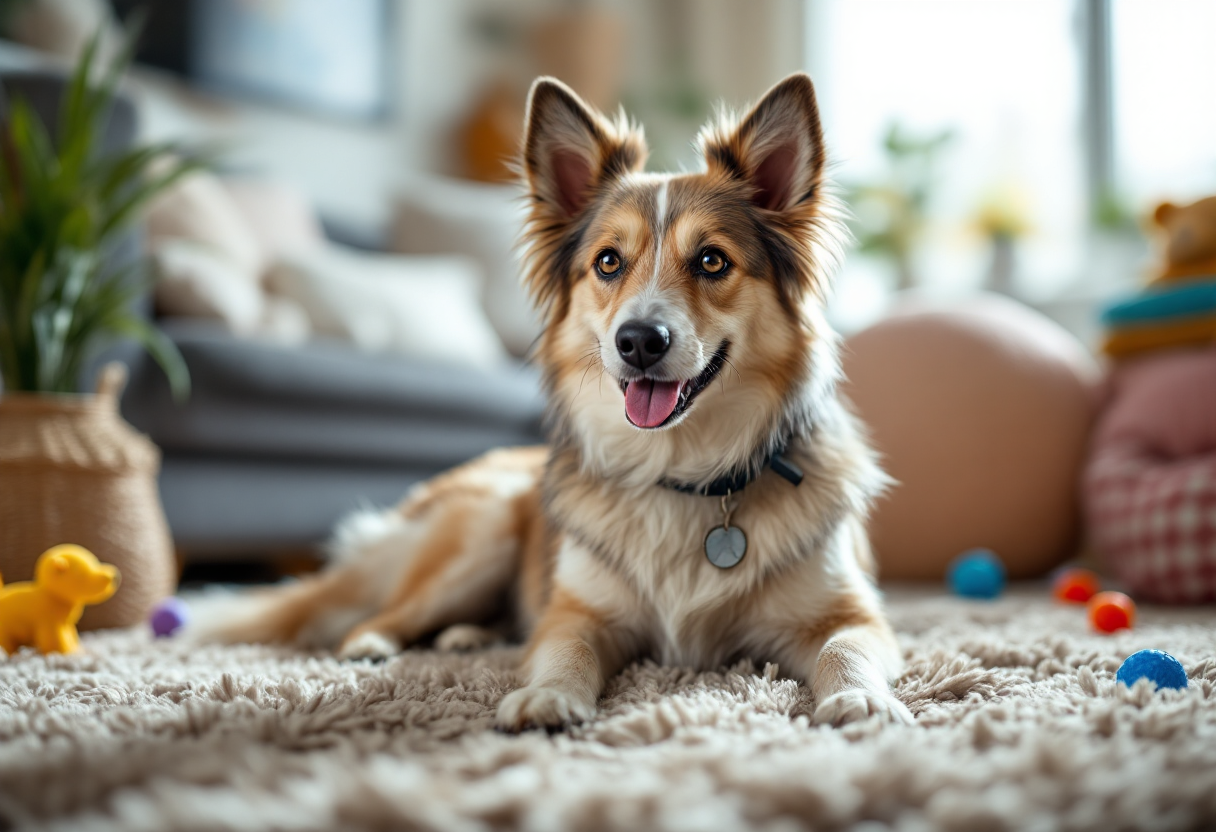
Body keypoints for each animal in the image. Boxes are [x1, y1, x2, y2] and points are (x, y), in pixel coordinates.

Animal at [189, 74, 914, 729]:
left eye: (712, 261)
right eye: (608, 262)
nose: (638, 341)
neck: (682, 473)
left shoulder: (853, 615)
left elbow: (846, 648)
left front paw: (862, 699)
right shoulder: (580, 610)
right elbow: (565, 648)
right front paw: (546, 696)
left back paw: (468, 637)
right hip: (481, 531)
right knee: (386, 612)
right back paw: (377, 643)